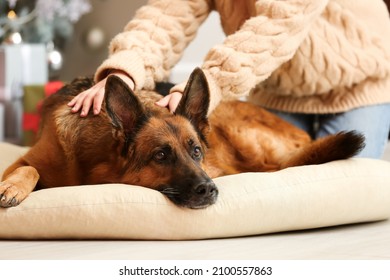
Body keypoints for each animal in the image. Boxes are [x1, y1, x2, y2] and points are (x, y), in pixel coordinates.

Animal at [0, 68, 366, 208]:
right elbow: (28, 169)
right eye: (161, 155)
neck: (90, 165)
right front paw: (12, 187)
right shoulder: (25, 160)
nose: (209, 189)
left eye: (196, 151)